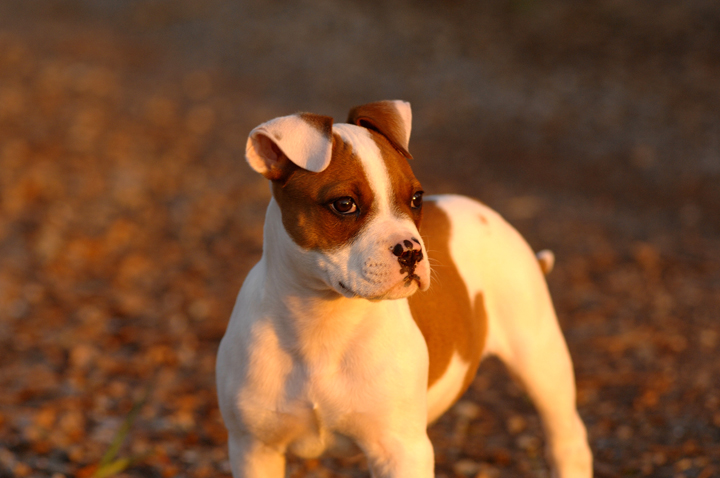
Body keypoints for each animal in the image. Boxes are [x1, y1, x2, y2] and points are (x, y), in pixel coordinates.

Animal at [217, 99, 592, 476]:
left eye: (416, 199)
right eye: (344, 204)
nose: (411, 250)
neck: (321, 320)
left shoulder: (401, 451)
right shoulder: (255, 450)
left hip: (540, 358)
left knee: (567, 436)